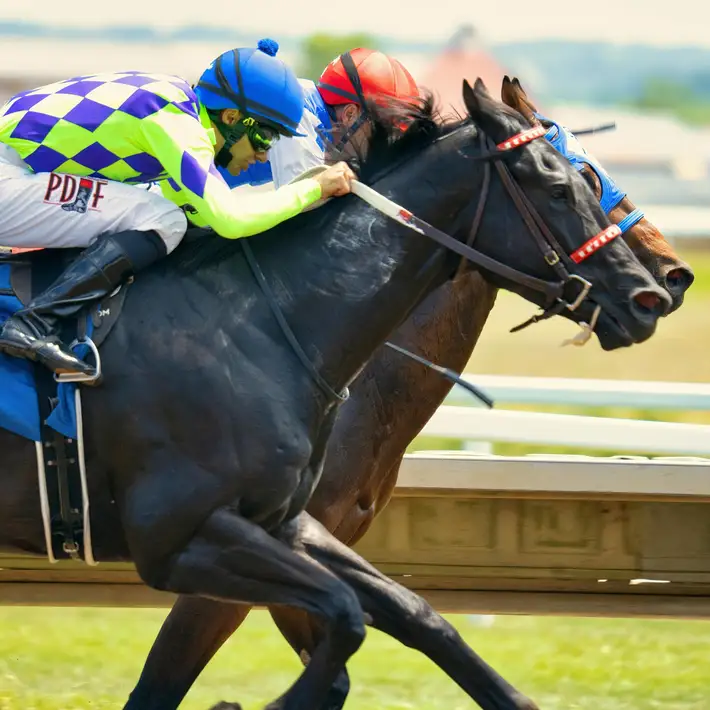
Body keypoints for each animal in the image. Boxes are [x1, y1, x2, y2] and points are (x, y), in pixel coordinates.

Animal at [1, 79, 670, 710]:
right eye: (564, 185)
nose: (654, 293)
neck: (262, 322)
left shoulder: (289, 523)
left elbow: (409, 614)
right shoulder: (182, 539)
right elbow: (337, 621)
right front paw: (259, 702)